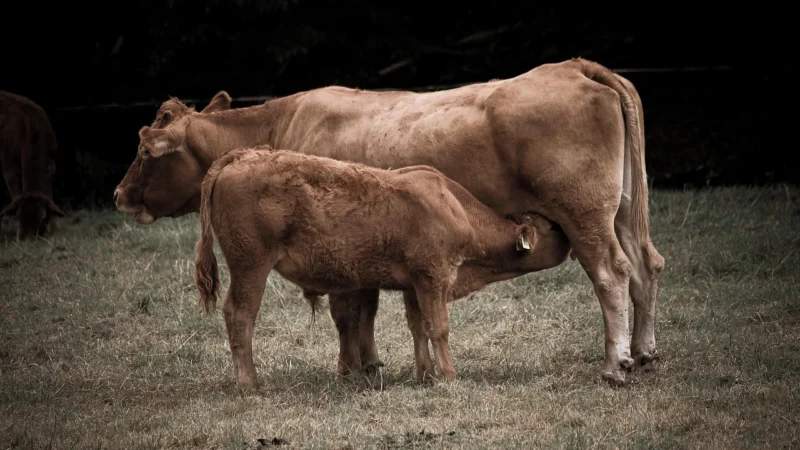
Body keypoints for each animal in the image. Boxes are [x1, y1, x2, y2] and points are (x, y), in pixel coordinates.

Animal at [0, 91, 65, 240]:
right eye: (18, 217)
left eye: (42, 218)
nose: (30, 240)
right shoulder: (8, 166)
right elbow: (16, 195)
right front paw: (18, 236)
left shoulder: (51, 165)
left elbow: (49, 196)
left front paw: (55, 232)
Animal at [191, 146, 571, 392]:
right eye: (550, 228)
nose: (566, 234)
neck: (454, 208)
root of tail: (241, 156)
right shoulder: (434, 278)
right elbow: (439, 328)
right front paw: (448, 376)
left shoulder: (414, 286)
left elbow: (418, 328)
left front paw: (425, 374)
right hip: (250, 268)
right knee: (240, 315)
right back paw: (250, 384)